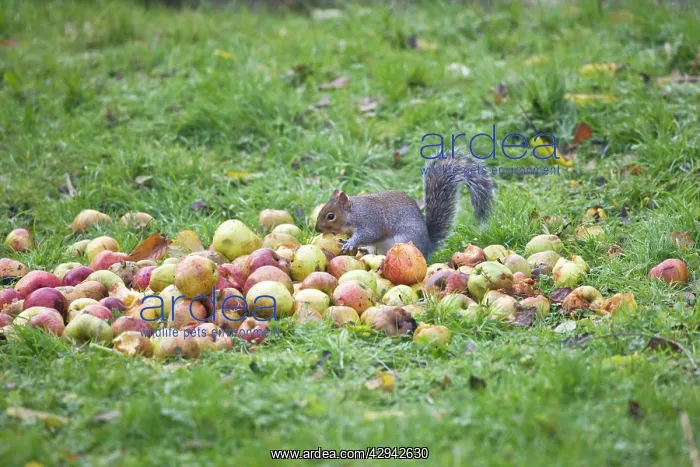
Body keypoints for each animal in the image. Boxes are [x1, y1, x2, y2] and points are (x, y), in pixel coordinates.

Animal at [314, 148, 496, 259]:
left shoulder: (371, 220)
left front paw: (351, 242)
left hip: (404, 241)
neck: (354, 213)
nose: (316, 229)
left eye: (331, 216)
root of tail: (427, 249)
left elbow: (368, 234)